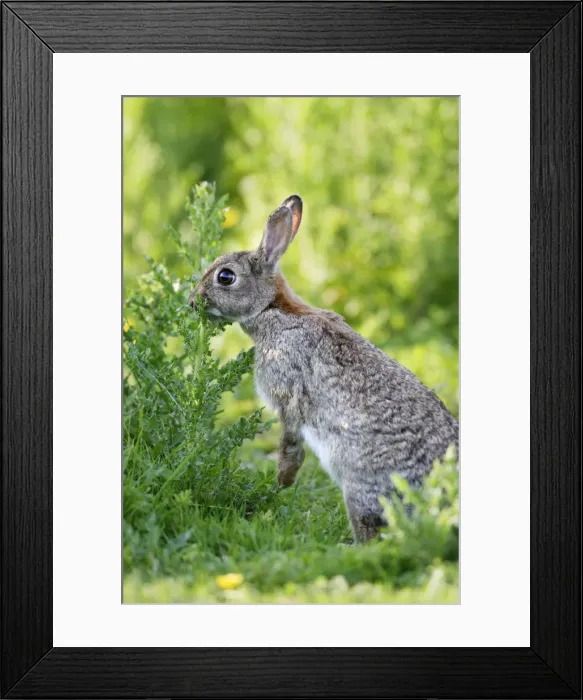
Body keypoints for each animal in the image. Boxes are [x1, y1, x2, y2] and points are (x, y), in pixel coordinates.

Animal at [189, 195, 459, 541]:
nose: (192, 301)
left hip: (360, 485)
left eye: (225, 277)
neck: (273, 309)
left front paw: (283, 481)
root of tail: (442, 500)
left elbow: (291, 445)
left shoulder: (288, 395)